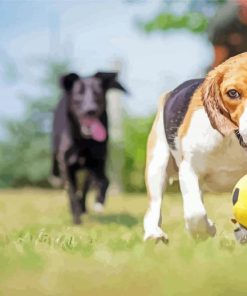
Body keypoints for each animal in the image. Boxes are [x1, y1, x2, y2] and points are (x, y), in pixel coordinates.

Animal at [51, 72, 126, 224]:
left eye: (98, 94)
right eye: (79, 95)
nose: (90, 110)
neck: (83, 141)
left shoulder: (97, 163)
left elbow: (105, 181)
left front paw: (98, 203)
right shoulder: (66, 165)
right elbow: (72, 191)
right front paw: (76, 219)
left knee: (86, 187)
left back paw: (84, 208)